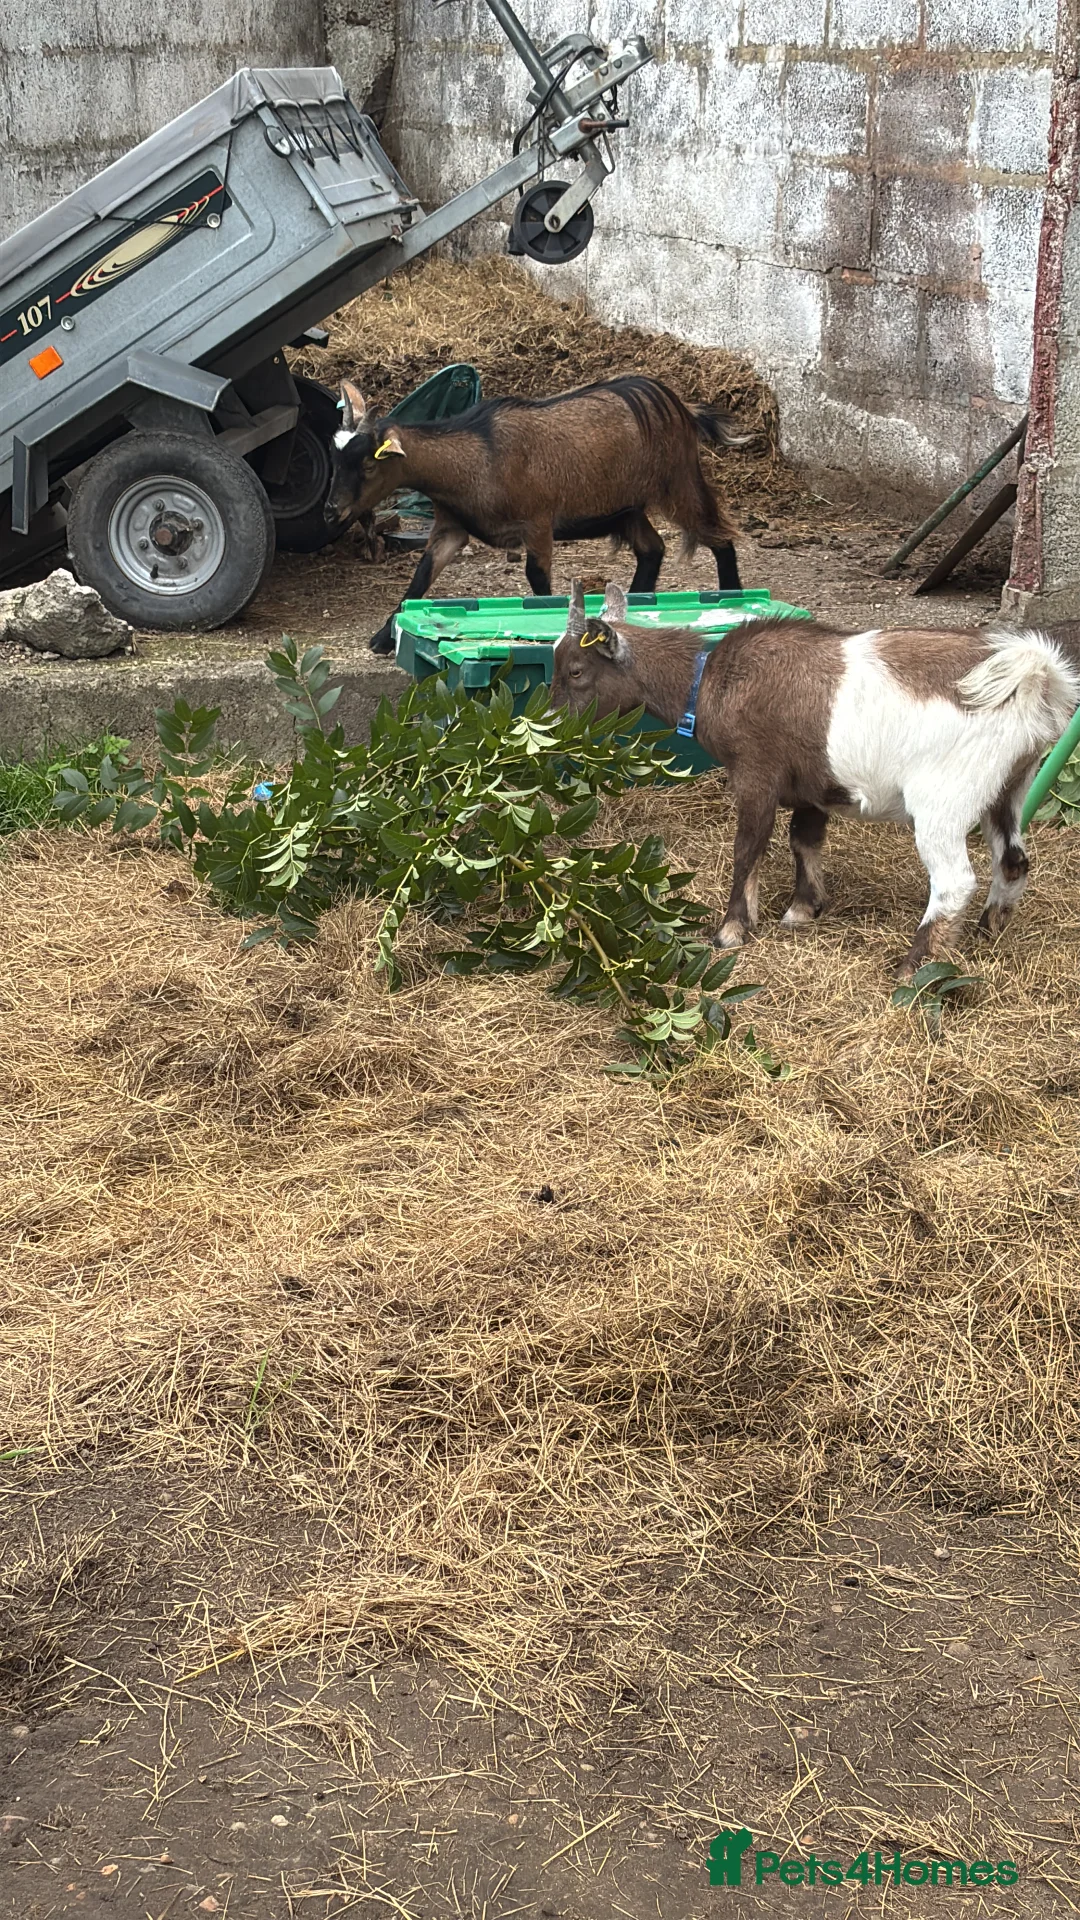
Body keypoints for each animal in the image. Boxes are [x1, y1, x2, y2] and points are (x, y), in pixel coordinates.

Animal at [325, 375, 748, 654]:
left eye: (368, 465)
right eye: (335, 456)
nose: (332, 511)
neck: (479, 457)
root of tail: (683, 408)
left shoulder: (538, 523)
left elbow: (538, 581)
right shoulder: (451, 527)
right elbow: (421, 577)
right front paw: (383, 637)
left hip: (678, 481)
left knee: (719, 536)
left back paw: (731, 599)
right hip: (624, 508)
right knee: (652, 548)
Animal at [551, 581, 1080, 978]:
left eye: (575, 670)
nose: (553, 726)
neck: (708, 682)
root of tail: (1033, 680)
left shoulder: (756, 774)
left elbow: (749, 847)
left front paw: (730, 931)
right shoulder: (812, 785)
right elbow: (803, 839)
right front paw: (802, 911)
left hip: (945, 799)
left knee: (953, 881)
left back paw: (911, 967)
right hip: (1009, 788)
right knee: (1013, 860)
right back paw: (986, 935)